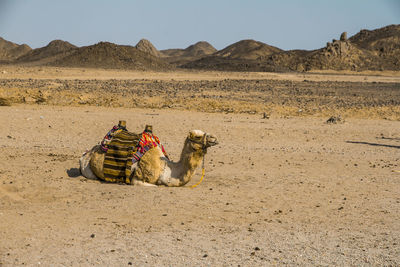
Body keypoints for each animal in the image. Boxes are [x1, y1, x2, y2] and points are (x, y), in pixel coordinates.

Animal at [79, 130, 219, 186]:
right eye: (197, 137)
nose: (215, 138)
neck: (166, 169)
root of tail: (87, 152)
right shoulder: (137, 180)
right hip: (87, 170)